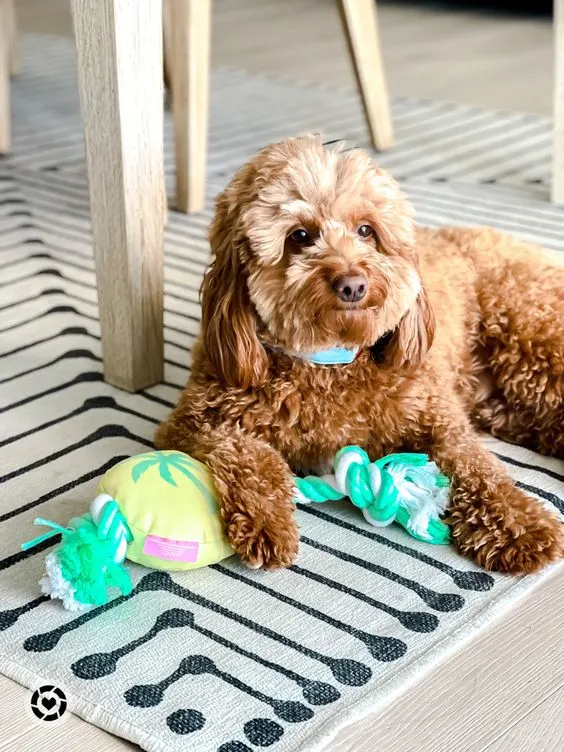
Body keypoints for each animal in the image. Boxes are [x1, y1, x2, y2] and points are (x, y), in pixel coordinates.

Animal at [155, 135, 564, 572]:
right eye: (299, 236)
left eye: (366, 230)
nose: (353, 284)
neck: (330, 361)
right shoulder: (193, 421)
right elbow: (243, 450)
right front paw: (266, 519)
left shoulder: (435, 415)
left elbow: (471, 461)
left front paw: (517, 521)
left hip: (529, 336)